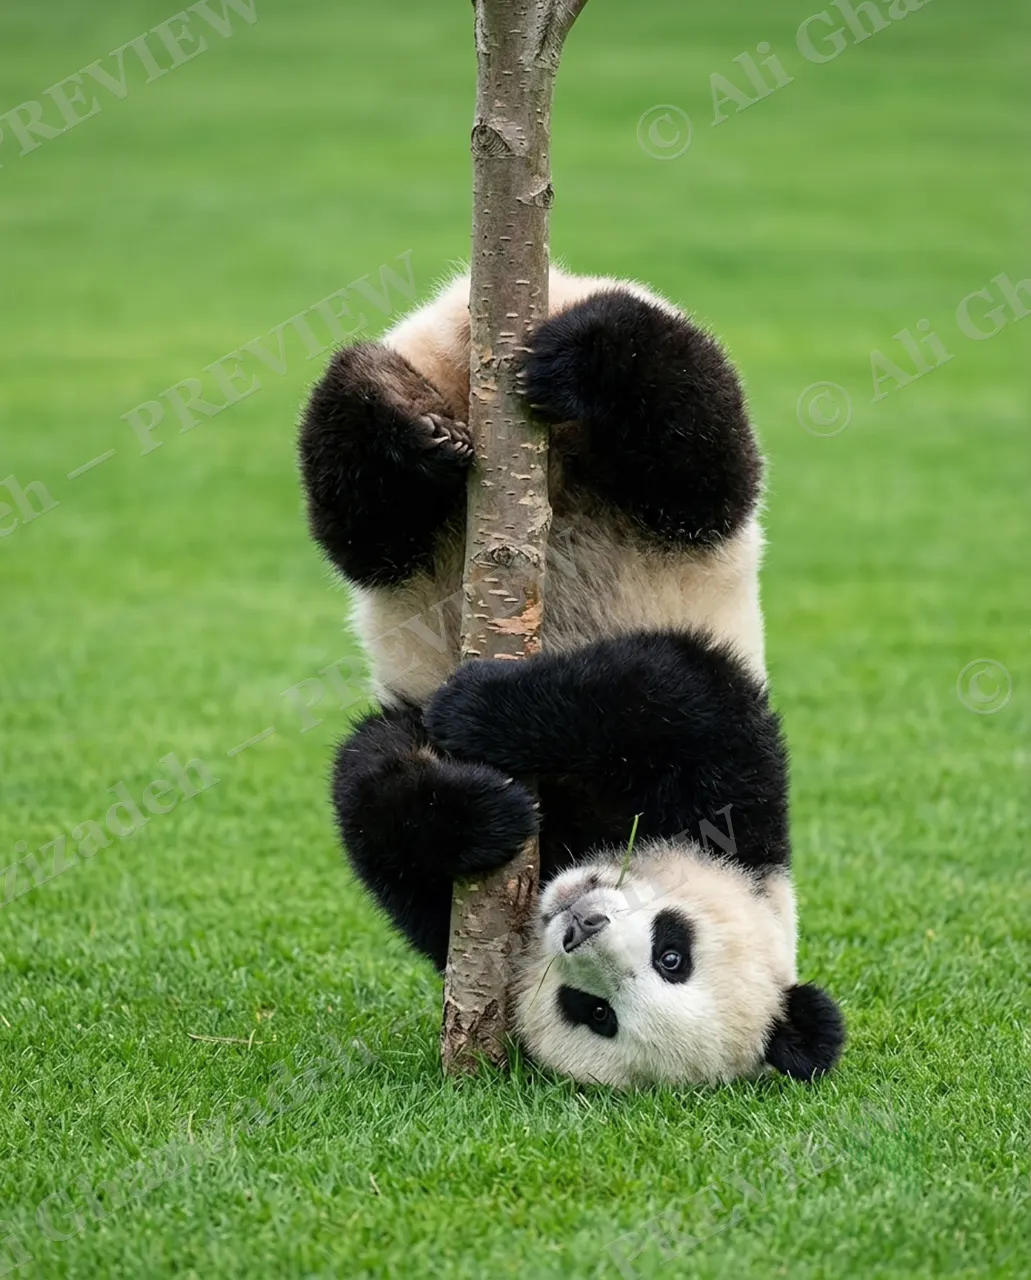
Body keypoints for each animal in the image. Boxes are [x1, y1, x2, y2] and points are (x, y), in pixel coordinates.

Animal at [298, 266, 845, 1087]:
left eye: (596, 1013)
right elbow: (667, 698)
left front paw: (476, 780)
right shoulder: (740, 793)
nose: (580, 924)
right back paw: (465, 401)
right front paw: (486, 746)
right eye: (675, 948)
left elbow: (377, 793)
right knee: (691, 439)